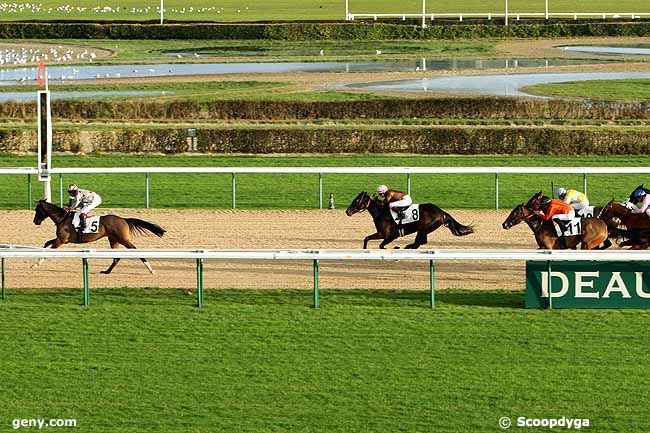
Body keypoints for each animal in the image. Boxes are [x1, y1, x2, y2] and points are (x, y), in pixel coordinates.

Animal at [32, 199, 166, 274]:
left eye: (37, 210)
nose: (35, 221)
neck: (62, 219)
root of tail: (124, 219)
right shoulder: (61, 240)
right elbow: (46, 243)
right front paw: (35, 262)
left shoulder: (61, 240)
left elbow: (49, 250)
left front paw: (36, 264)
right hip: (114, 240)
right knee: (116, 257)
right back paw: (107, 272)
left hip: (123, 239)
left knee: (135, 251)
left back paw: (150, 269)